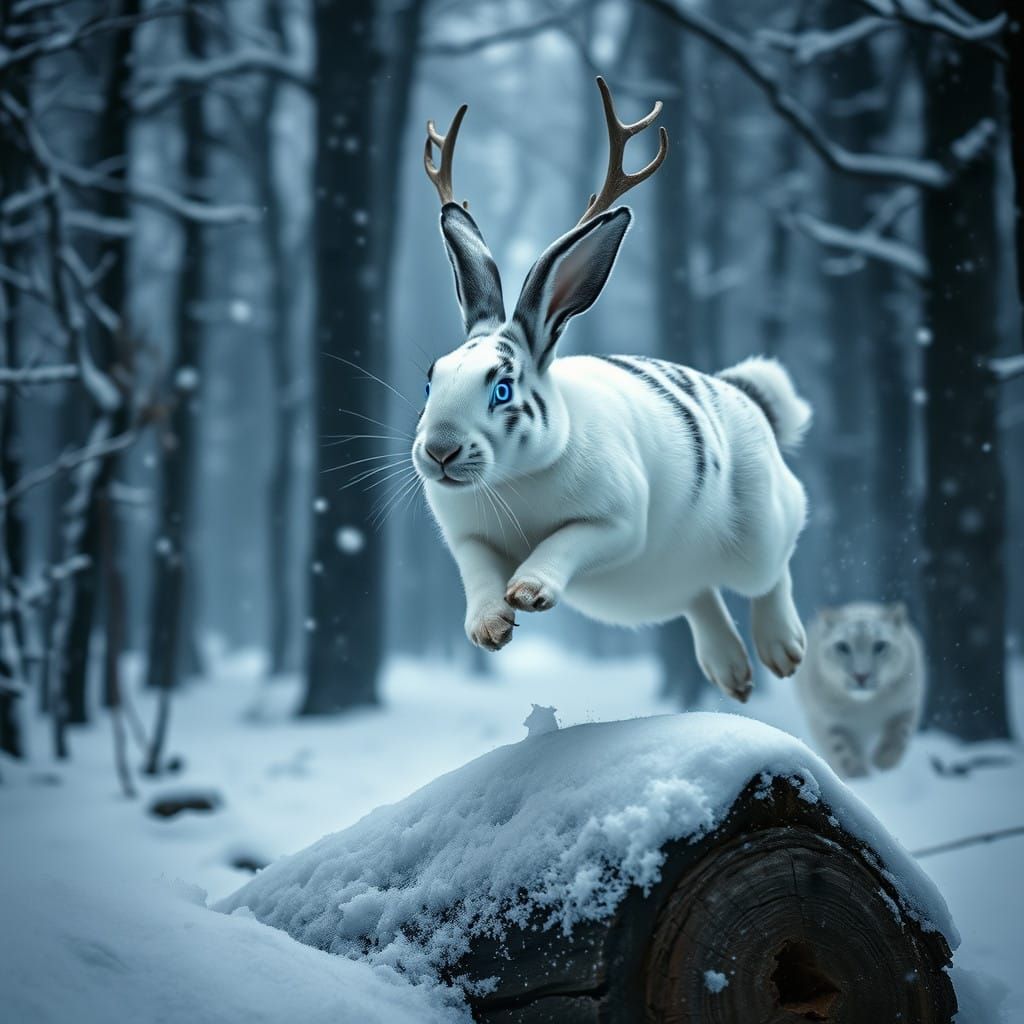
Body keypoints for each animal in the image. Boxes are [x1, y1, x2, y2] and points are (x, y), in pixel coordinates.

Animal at [411, 82, 811, 702]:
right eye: (432, 377)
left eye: (502, 388)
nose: (438, 452)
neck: (514, 482)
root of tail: (742, 394)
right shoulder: (469, 539)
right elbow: (477, 574)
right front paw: (489, 626)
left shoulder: (617, 523)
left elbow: (566, 541)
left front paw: (529, 591)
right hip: (668, 584)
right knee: (699, 595)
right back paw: (733, 676)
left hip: (761, 530)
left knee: (774, 568)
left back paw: (782, 651)